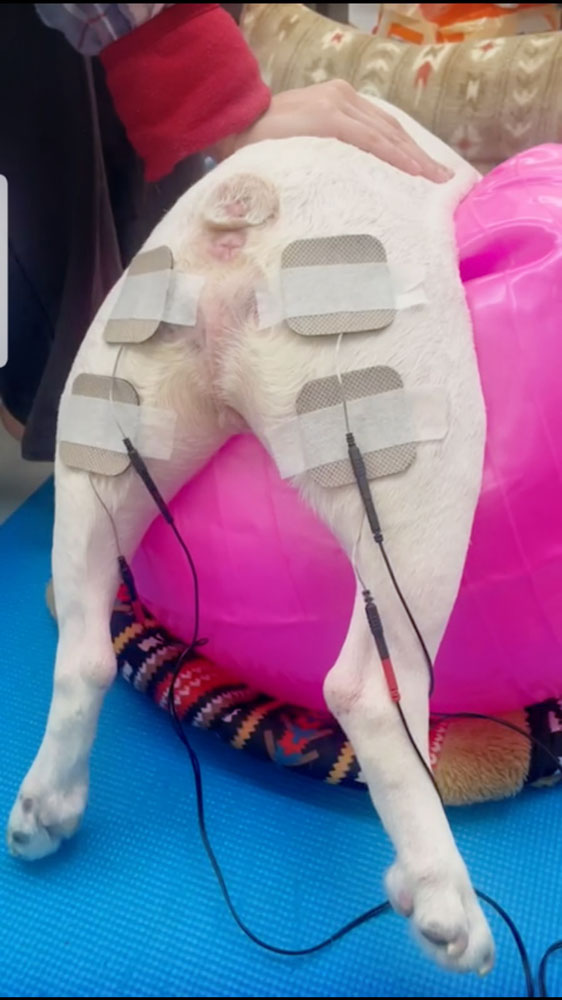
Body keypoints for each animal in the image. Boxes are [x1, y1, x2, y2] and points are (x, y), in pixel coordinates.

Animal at [7, 95, 495, 975]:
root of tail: (243, 212)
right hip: (418, 462)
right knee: (369, 691)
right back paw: (441, 894)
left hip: (107, 426)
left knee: (84, 650)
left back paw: (48, 802)